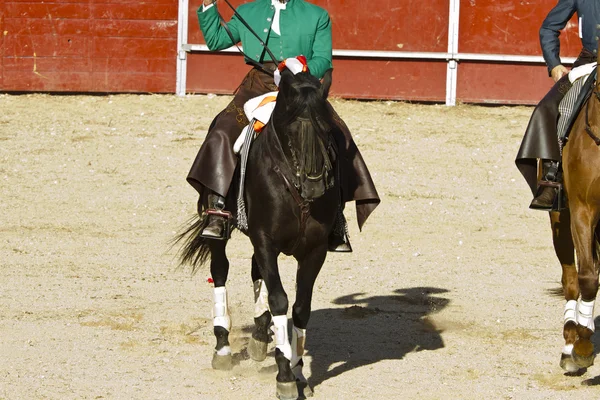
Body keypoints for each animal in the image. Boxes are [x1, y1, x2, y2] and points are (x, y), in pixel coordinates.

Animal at [176, 68, 340, 400]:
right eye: (290, 132)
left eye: (327, 130)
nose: (315, 186)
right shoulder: (266, 240)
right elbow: (279, 299)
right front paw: (285, 374)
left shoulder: (314, 250)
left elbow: (301, 307)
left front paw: (298, 370)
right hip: (223, 233)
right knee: (220, 270)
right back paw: (223, 347)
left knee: (256, 271)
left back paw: (261, 336)